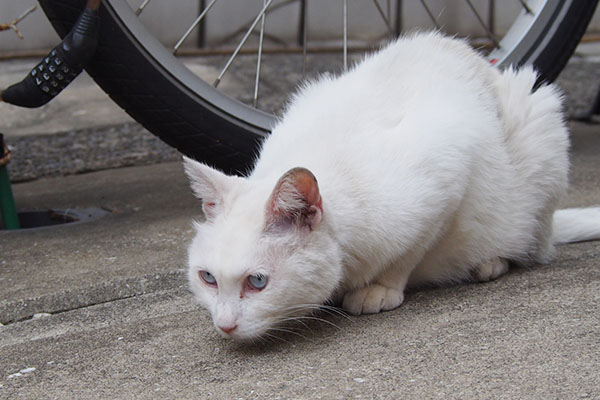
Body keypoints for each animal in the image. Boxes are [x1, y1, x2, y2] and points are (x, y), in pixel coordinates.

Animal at [182, 33, 600, 340]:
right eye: (208, 278)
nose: (225, 325)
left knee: (532, 245)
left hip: (539, 121)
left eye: (257, 282)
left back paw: (490, 262)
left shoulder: (447, 174)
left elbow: (407, 254)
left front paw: (379, 288)